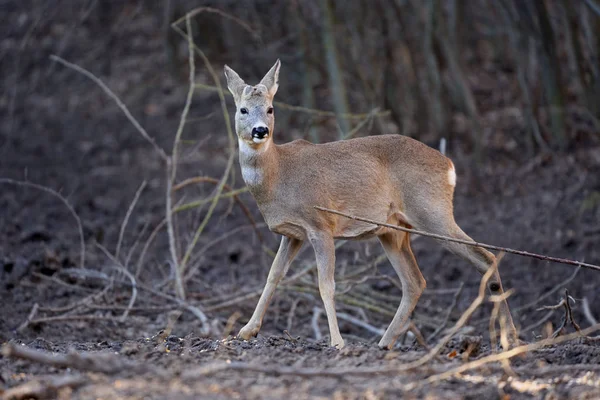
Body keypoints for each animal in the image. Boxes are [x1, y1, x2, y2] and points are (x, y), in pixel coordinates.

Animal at [223, 60, 516, 350]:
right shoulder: (293, 233)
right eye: (242, 109)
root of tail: (450, 166)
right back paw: (384, 342)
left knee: (485, 257)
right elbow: (274, 275)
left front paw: (337, 341)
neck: (279, 174)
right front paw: (246, 331)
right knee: (415, 282)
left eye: (270, 108)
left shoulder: (320, 224)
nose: (261, 130)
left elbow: (326, 284)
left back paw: (509, 337)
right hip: (394, 231)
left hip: (433, 211)